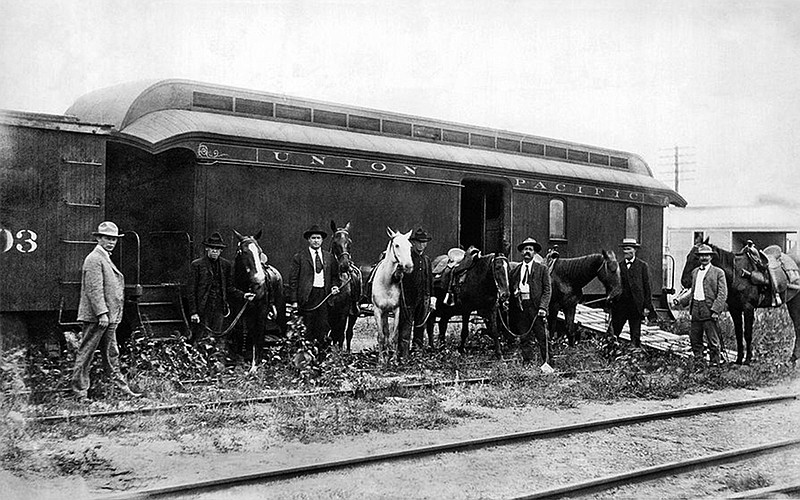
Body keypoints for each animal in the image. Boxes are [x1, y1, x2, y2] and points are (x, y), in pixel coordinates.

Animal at [233, 229, 286, 370]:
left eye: (259, 251)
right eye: (244, 251)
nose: (260, 280)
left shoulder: (261, 311)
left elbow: (259, 334)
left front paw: (255, 365)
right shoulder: (240, 311)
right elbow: (243, 333)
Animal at [326, 221, 360, 354]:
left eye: (349, 242)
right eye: (335, 243)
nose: (345, 265)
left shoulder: (344, 312)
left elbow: (340, 333)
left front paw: (339, 351)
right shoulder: (330, 312)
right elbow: (332, 333)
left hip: (353, 313)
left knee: (348, 332)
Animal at [372, 229, 416, 362]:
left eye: (410, 246)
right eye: (396, 245)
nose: (409, 266)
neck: (386, 282)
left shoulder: (397, 310)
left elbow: (395, 335)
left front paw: (394, 359)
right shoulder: (377, 311)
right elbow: (381, 336)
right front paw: (381, 359)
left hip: (387, 311)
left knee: (388, 332)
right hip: (383, 312)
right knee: (384, 333)